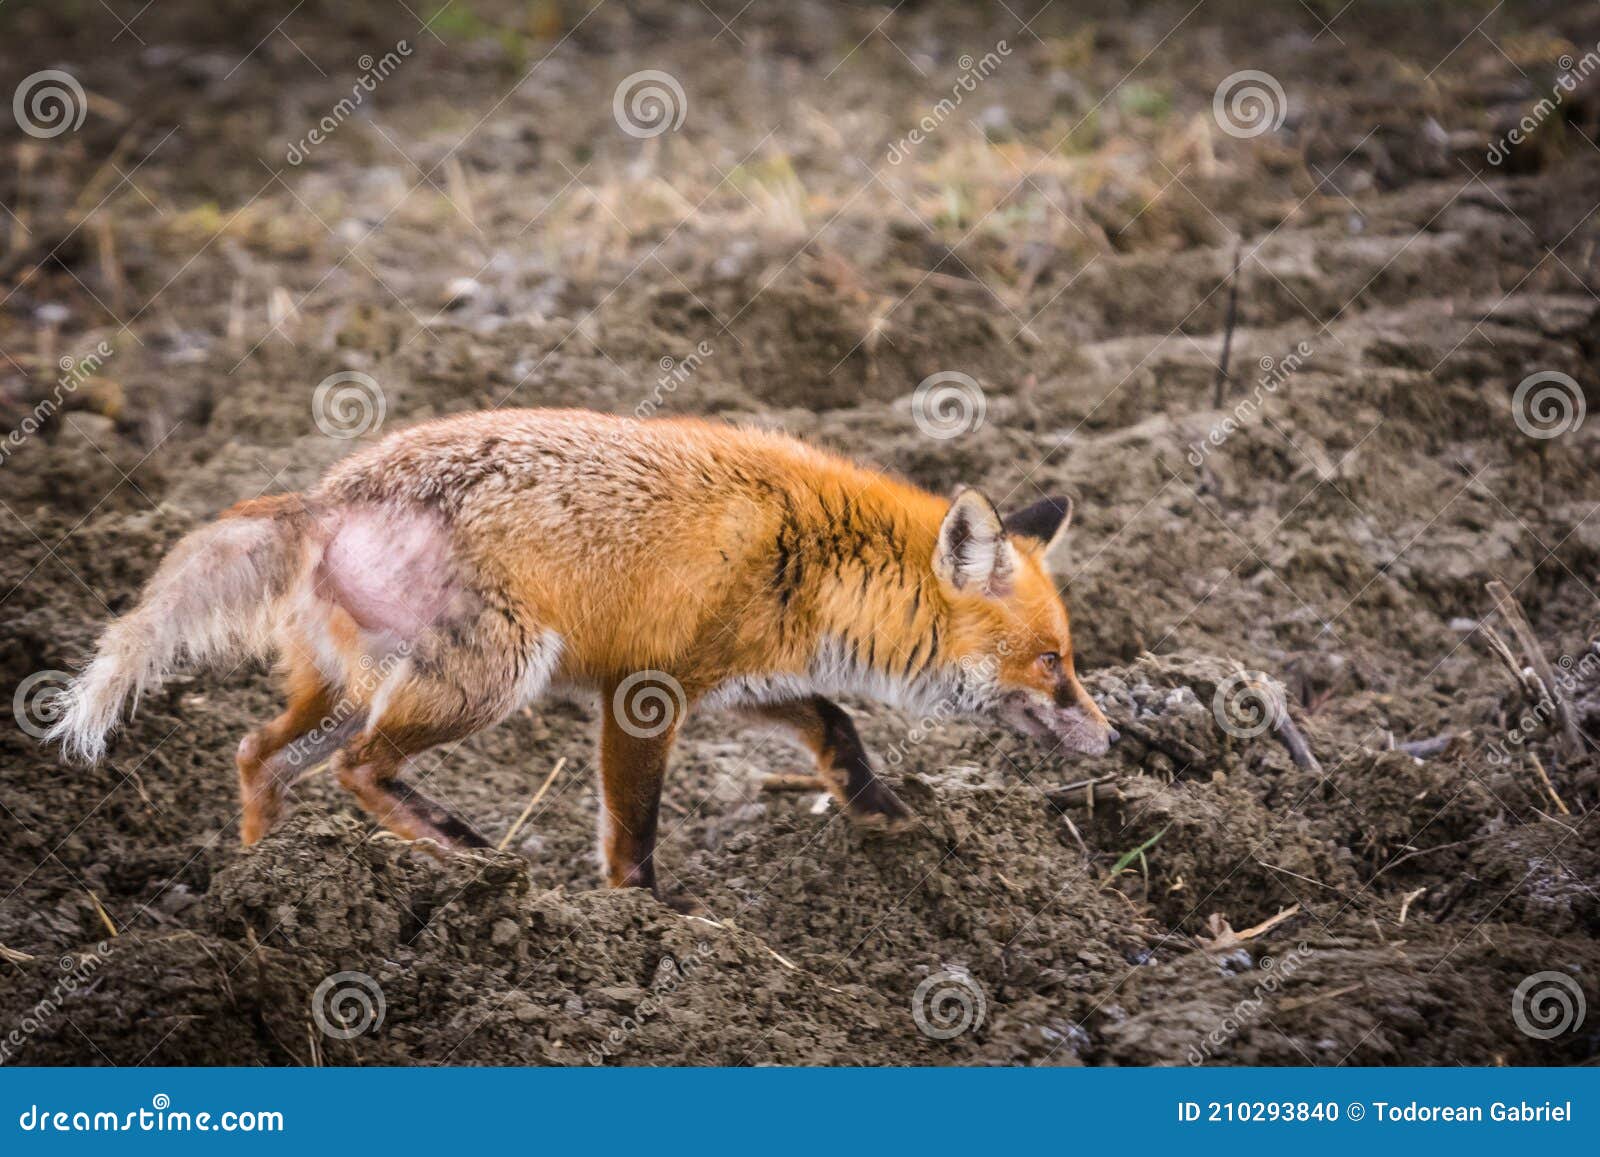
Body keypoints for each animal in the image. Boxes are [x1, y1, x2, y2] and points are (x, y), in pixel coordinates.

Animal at [47, 408, 1118, 899]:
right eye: (1055, 660)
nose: (1111, 739)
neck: (816, 557)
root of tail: (327, 493)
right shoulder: (645, 693)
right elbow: (633, 827)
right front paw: (646, 919)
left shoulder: (740, 681)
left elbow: (835, 719)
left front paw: (881, 809)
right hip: (490, 677)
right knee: (358, 767)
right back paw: (461, 851)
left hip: (350, 689)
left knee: (255, 756)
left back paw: (262, 880)